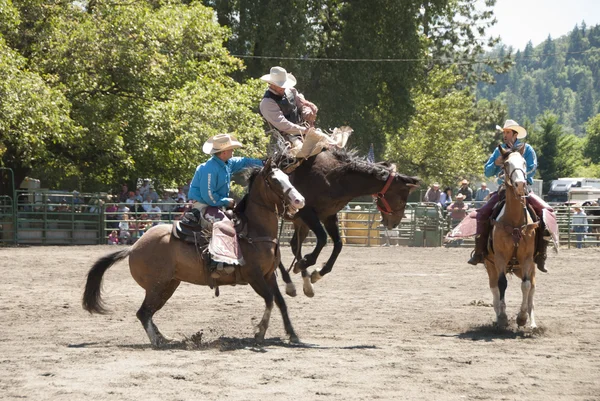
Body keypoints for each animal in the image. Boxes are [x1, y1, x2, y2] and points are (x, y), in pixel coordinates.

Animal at [83, 161, 304, 346]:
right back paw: (157, 341)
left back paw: (165, 338)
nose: (299, 200)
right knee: (143, 313)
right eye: (274, 181)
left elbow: (280, 302)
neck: (254, 231)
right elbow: (269, 300)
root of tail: (134, 246)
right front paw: (259, 332)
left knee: (147, 313)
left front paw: (293, 335)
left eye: (287, 177)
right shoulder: (254, 276)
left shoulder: (269, 275)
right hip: (157, 286)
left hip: (168, 285)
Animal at [276, 148, 420, 296]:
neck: (334, 178)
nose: (395, 223)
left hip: (301, 223)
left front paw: (318, 273)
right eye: (402, 201)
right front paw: (306, 262)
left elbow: (338, 244)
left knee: (294, 244)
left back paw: (306, 284)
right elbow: (322, 238)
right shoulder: (307, 212)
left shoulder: (328, 216)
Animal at [482, 145, 540, 326]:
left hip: (528, 267)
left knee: (532, 288)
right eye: (506, 163)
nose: (520, 184)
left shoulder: (527, 258)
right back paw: (499, 315)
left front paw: (522, 317)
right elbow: (502, 284)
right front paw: (503, 316)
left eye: (524, 162)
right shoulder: (500, 257)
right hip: (491, 265)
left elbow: (526, 286)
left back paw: (533, 323)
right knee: (494, 287)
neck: (514, 221)